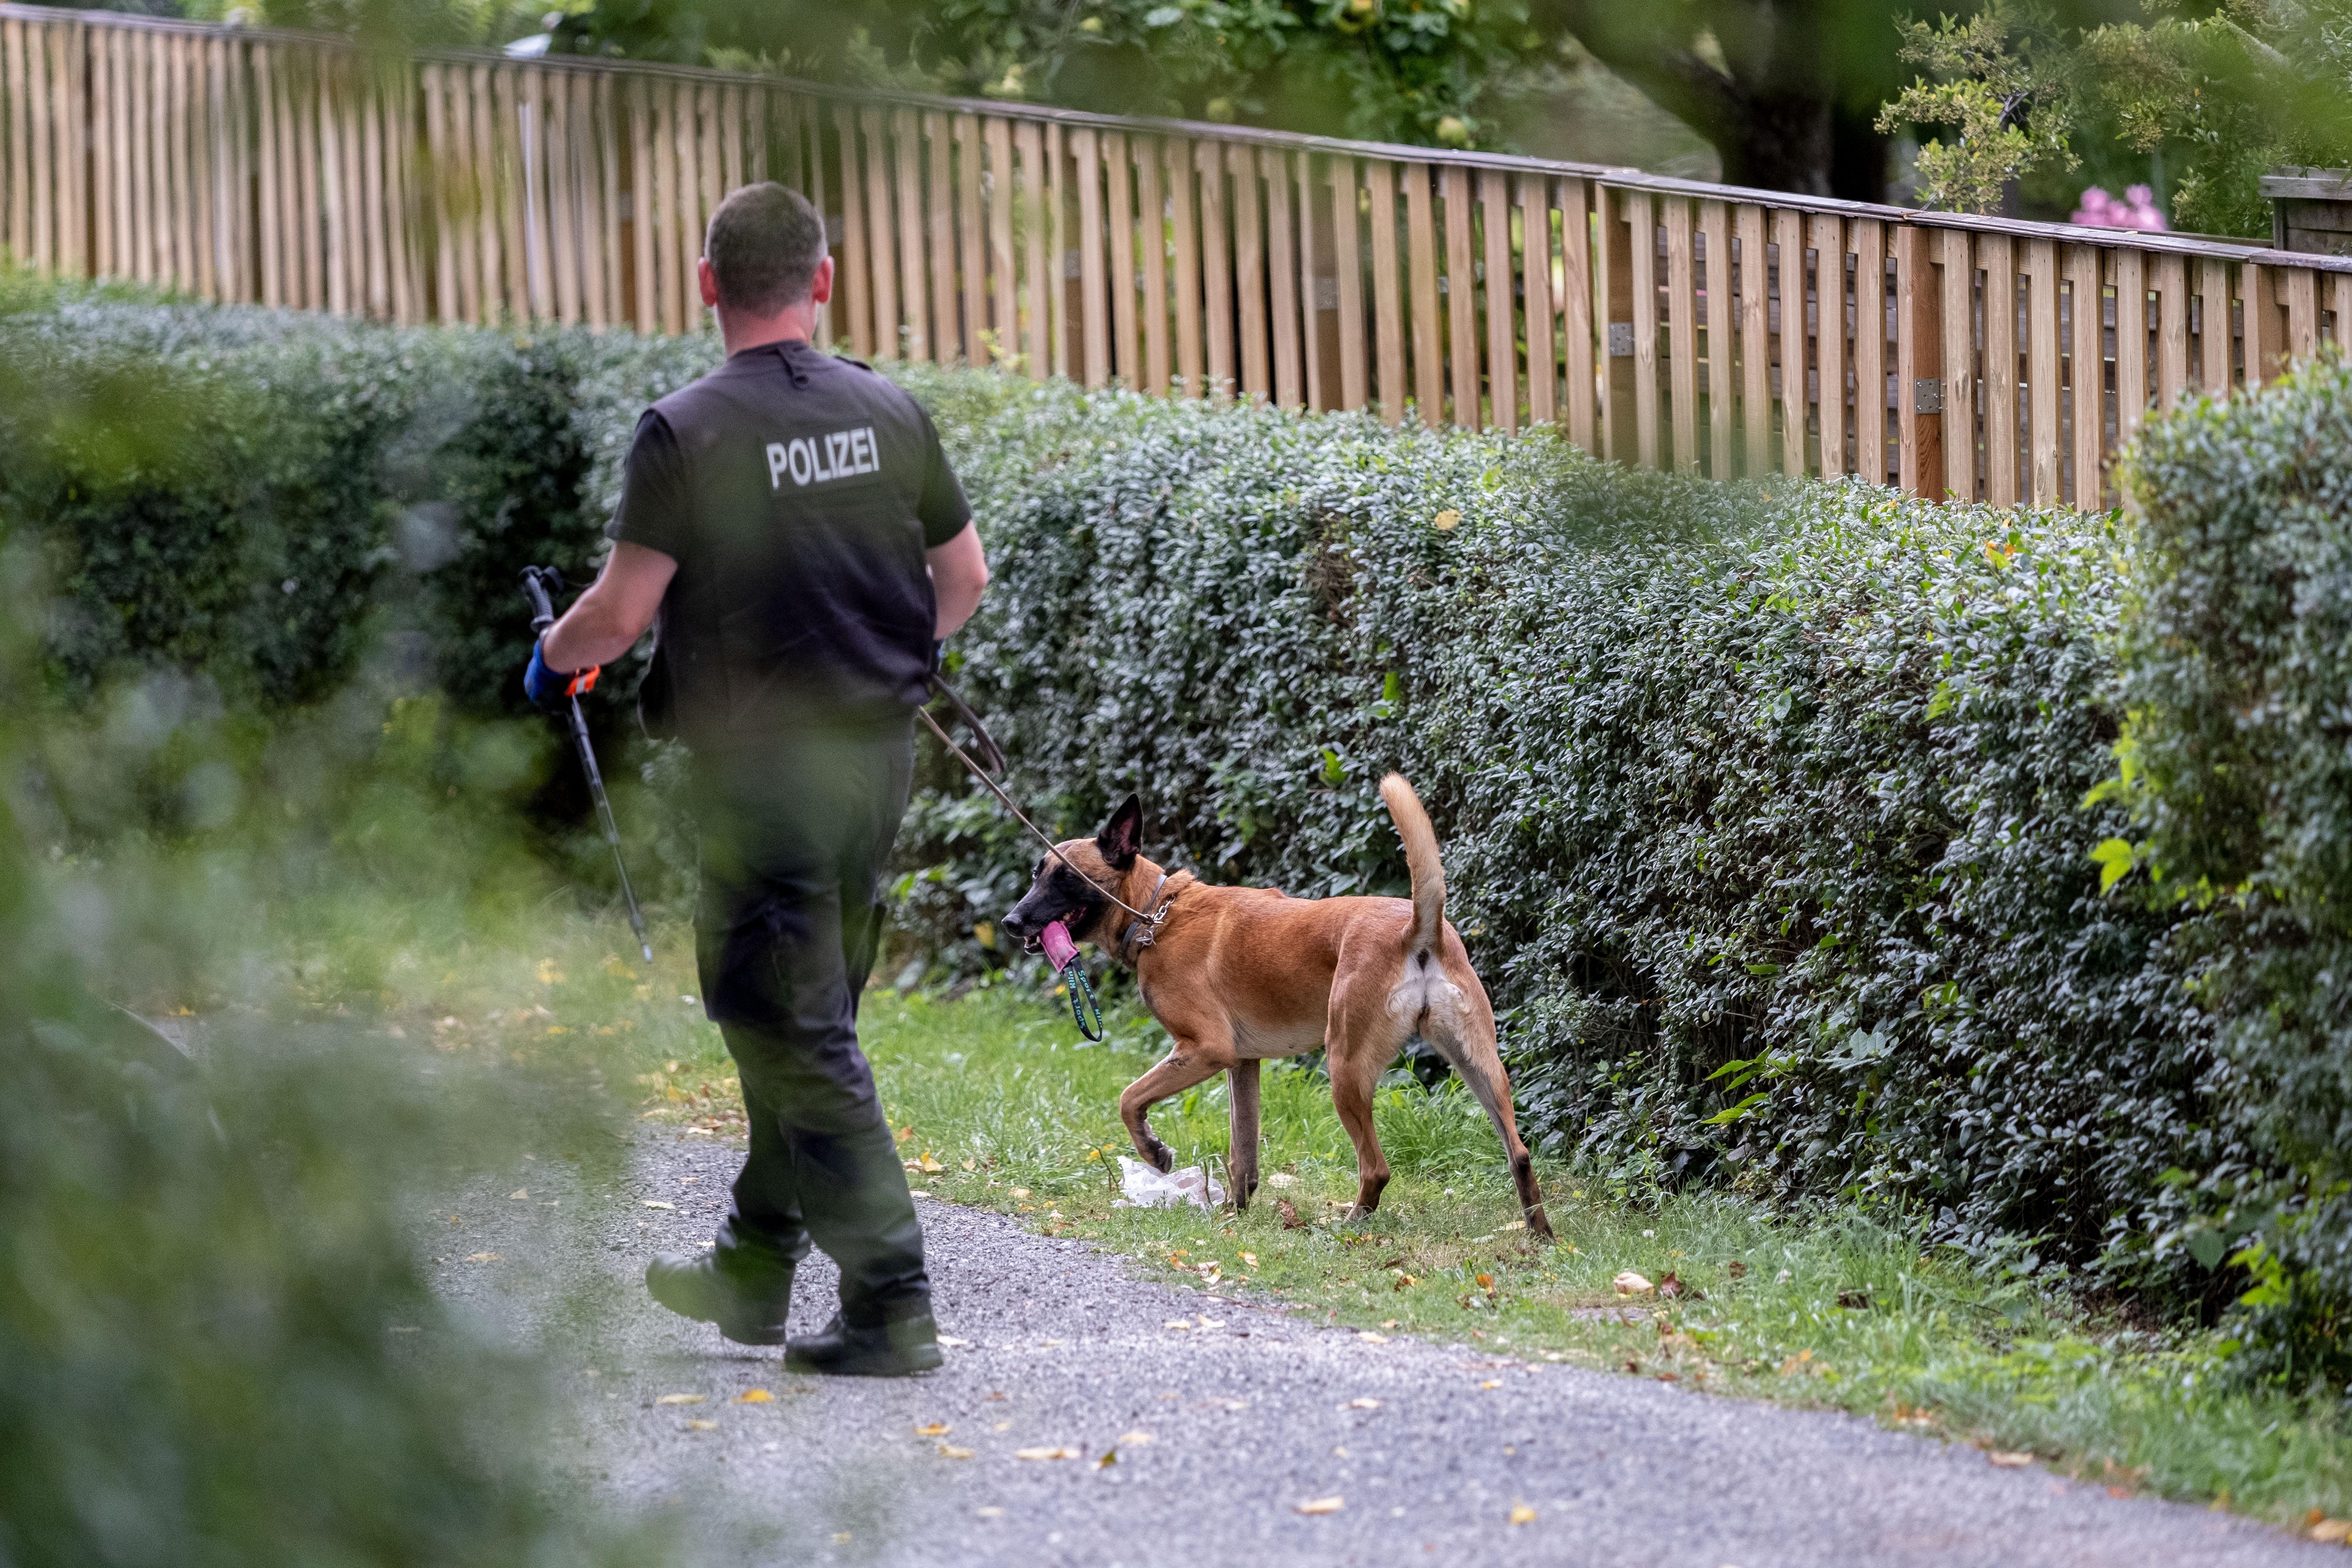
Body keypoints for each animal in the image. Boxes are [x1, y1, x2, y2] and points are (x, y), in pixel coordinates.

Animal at [1002, 771, 1552, 1241]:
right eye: (1035, 874)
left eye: (1064, 879)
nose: (1010, 921)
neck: (1158, 913)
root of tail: (1418, 927)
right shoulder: (1242, 1064)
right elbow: (1242, 1155)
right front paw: (1233, 1212)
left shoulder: (1206, 1050)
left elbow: (1130, 1098)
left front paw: (1156, 1155)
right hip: (1480, 1066)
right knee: (1520, 1153)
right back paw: (1540, 1235)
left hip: (1345, 1067)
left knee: (1375, 1168)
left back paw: (1350, 1225)